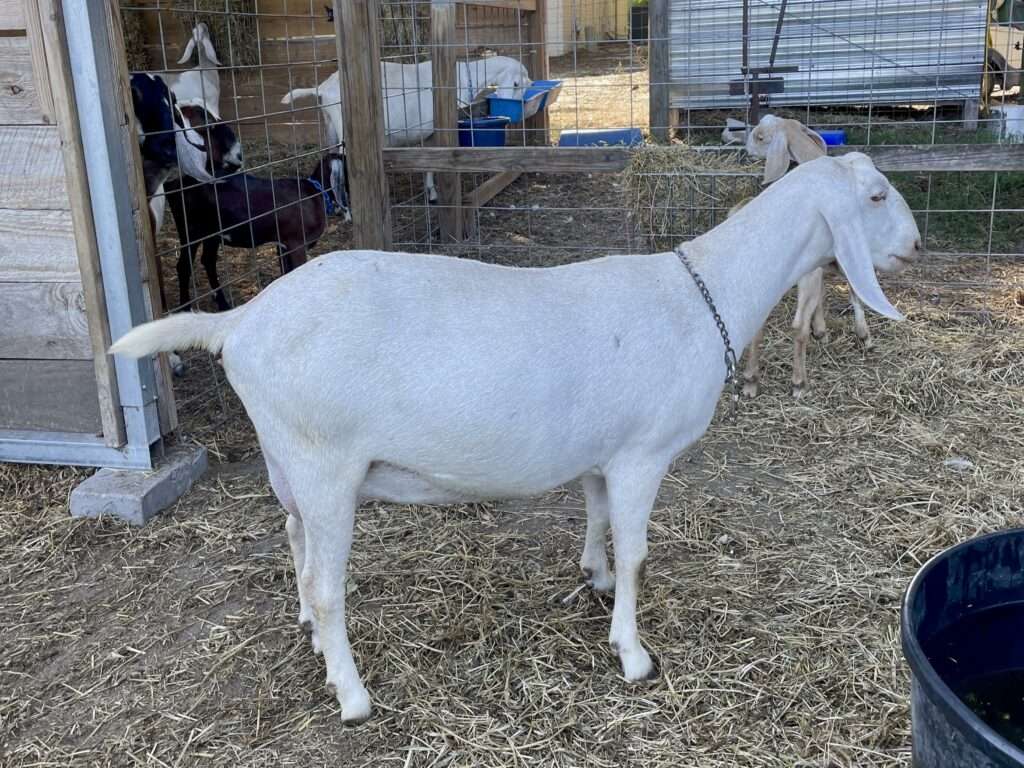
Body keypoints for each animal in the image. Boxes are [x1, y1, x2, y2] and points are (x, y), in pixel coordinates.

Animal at [161, 154, 333, 311]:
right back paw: (185, 308)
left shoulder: (282, 244)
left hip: (212, 233)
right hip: (191, 230)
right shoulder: (296, 242)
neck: (314, 193)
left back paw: (223, 304)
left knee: (208, 261)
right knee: (184, 266)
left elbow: (286, 272)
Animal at [284, 56, 532, 202]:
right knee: (340, 171)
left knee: (332, 164)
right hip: (346, 131)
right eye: (517, 83)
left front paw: (431, 192)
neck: (465, 78)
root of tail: (322, 89)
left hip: (330, 127)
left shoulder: (428, 133)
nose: (516, 114)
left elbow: (428, 164)